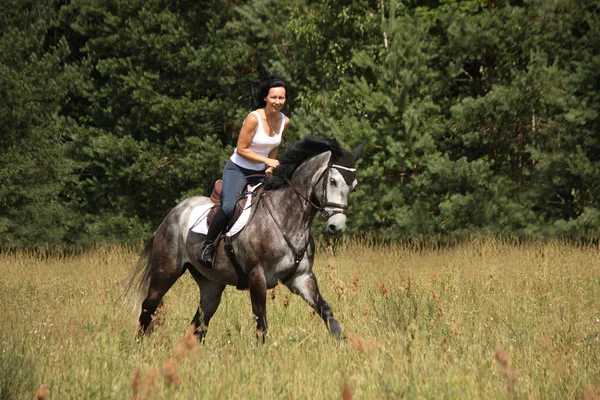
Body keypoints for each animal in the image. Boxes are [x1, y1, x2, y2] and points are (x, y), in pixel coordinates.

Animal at [125, 135, 364, 340]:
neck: (287, 216)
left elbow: (327, 313)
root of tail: (172, 213)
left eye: (353, 185)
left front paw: (346, 346)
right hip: (165, 272)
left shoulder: (301, 277)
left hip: (211, 284)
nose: (336, 226)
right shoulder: (257, 276)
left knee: (199, 322)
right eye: (333, 181)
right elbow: (261, 322)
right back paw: (139, 347)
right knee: (149, 306)